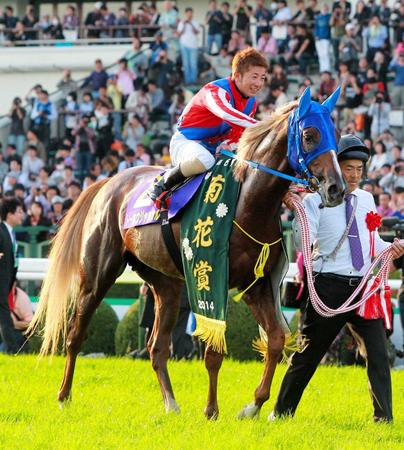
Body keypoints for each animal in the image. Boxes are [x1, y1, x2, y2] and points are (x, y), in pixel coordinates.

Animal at [28, 92, 346, 418]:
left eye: (334, 134)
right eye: (309, 135)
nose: (336, 188)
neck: (247, 201)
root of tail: (108, 182)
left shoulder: (256, 285)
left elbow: (276, 340)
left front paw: (253, 405)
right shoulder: (213, 278)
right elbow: (214, 352)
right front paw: (212, 410)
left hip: (166, 284)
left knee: (157, 347)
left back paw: (171, 403)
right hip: (97, 275)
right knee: (75, 334)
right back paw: (64, 395)